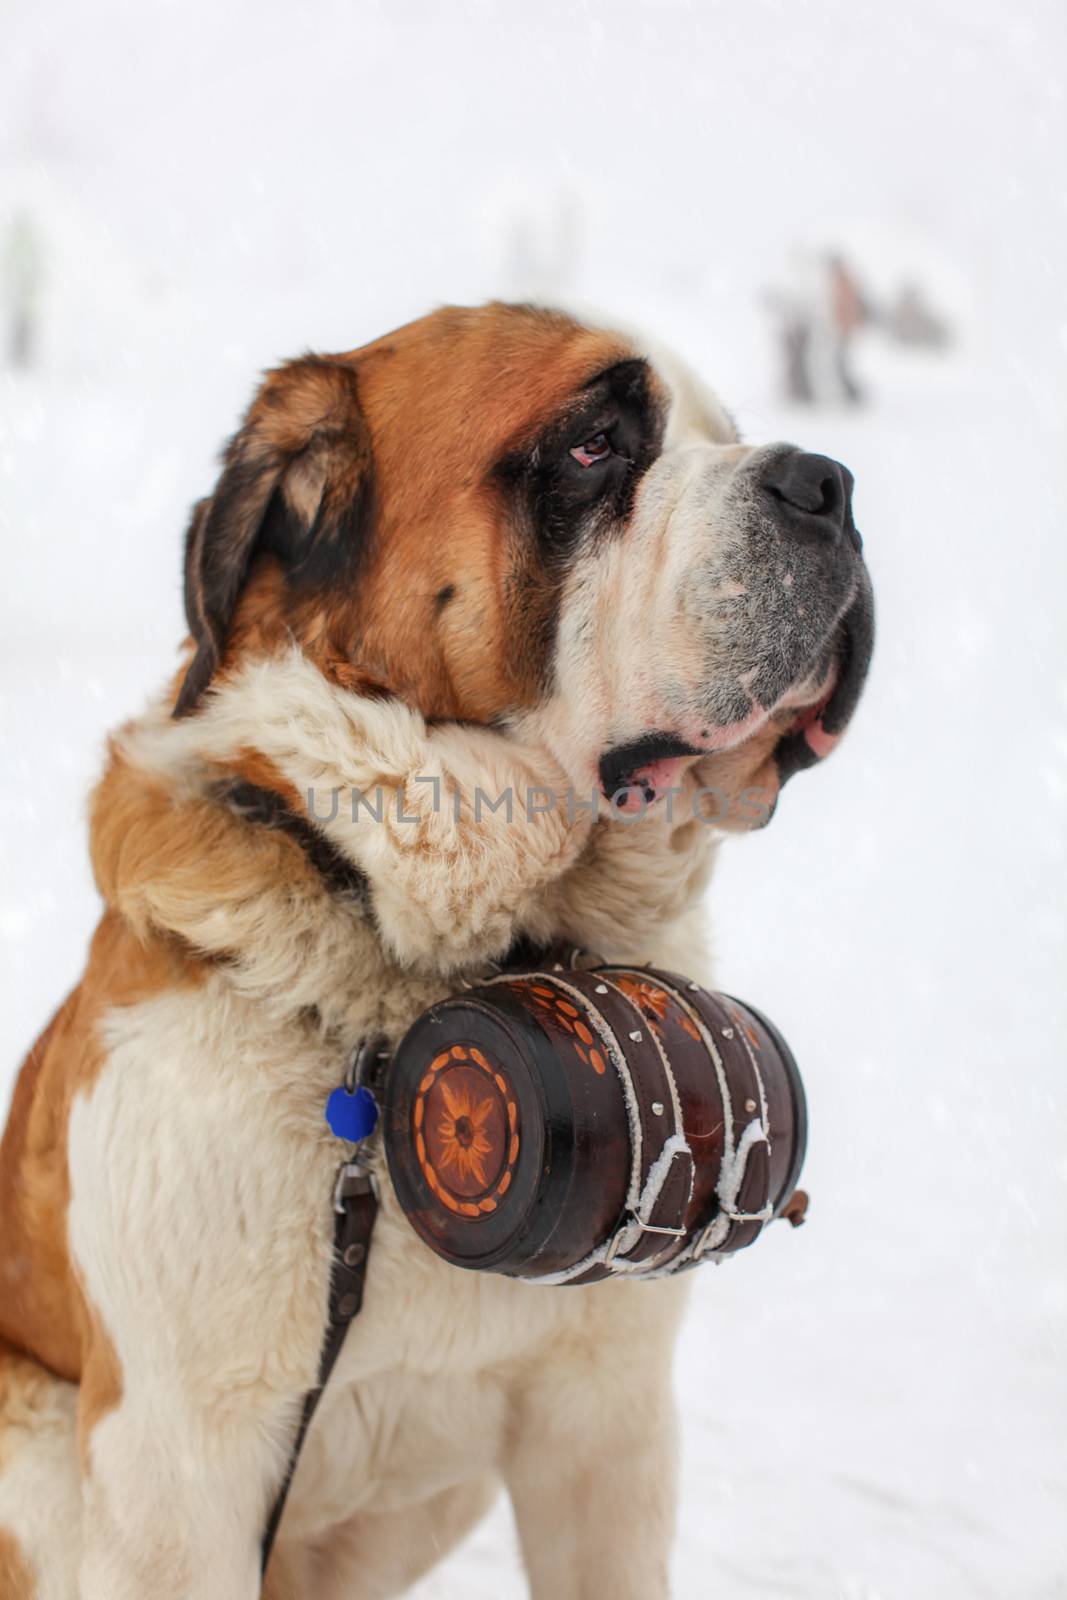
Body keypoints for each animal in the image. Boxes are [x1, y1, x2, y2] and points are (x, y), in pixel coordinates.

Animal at [0, 302, 870, 1600]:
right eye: (592, 446)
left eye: (727, 431)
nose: (825, 481)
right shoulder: (171, 1470)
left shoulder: (604, 1426)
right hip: (41, 1451)